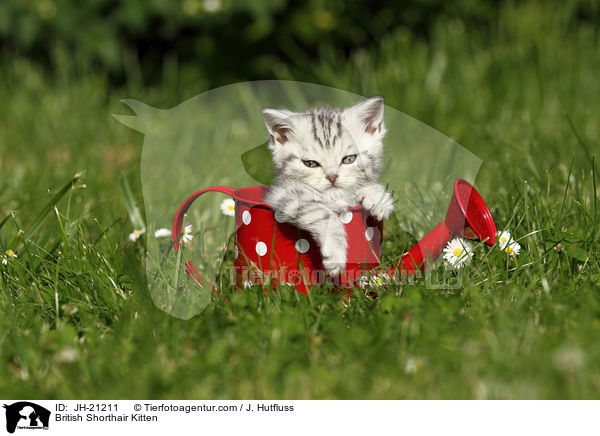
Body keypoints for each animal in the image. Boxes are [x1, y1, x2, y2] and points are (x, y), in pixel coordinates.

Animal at [262, 97, 394, 276]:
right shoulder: (285, 195)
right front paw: (335, 255)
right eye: (310, 163)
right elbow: (323, 214)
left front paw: (378, 198)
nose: (332, 177)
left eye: (349, 159)